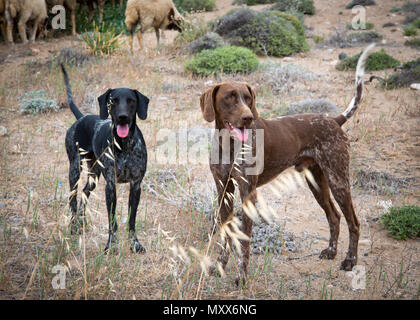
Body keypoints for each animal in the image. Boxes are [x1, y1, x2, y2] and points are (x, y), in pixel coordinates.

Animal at [61, 65, 149, 252]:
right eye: (113, 101)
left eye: (131, 101)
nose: (122, 117)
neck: (124, 145)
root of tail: (82, 117)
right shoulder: (110, 185)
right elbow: (112, 220)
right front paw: (111, 245)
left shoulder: (136, 185)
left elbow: (132, 219)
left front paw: (135, 243)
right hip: (75, 170)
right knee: (73, 199)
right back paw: (74, 226)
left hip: (94, 175)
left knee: (84, 193)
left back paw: (82, 222)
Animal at [200, 43, 374, 284]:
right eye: (229, 97)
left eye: (248, 98)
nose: (248, 118)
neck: (229, 145)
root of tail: (334, 120)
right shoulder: (223, 190)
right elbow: (226, 234)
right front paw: (220, 266)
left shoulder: (248, 193)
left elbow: (244, 241)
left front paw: (242, 277)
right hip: (318, 183)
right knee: (334, 216)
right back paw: (331, 251)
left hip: (338, 180)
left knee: (353, 222)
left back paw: (350, 260)